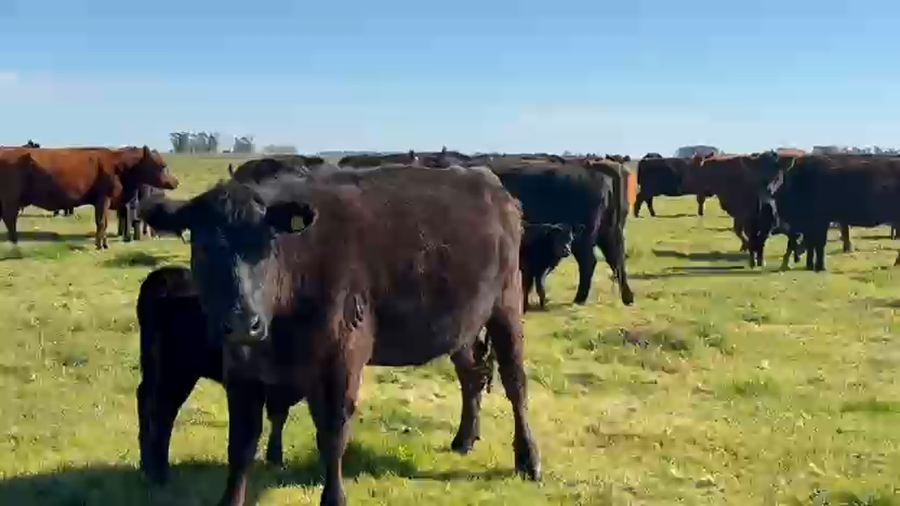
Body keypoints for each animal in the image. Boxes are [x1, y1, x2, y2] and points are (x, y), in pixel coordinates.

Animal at [0, 146, 177, 249]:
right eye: (162, 166)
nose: (176, 182)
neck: (118, 166)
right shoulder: (103, 199)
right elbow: (101, 223)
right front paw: (100, 245)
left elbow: (104, 223)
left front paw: (104, 244)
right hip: (11, 198)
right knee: (10, 219)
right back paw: (14, 242)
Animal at [136, 265, 304, 485]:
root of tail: (165, 275)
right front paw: (275, 459)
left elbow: (279, 418)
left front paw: (275, 459)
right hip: (177, 371)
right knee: (163, 411)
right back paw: (160, 474)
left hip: (154, 366)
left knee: (146, 400)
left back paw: (147, 465)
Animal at [488, 156, 634, 306]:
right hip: (609, 232)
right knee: (616, 259)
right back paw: (627, 298)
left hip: (583, 240)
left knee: (589, 262)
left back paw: (579, 299)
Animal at [763, 154, 900, 271]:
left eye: (777, 176)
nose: (769, 190)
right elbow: (811, 243)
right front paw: (809, 265)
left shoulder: (821, 220)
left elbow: (819, 242)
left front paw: (819, 267)